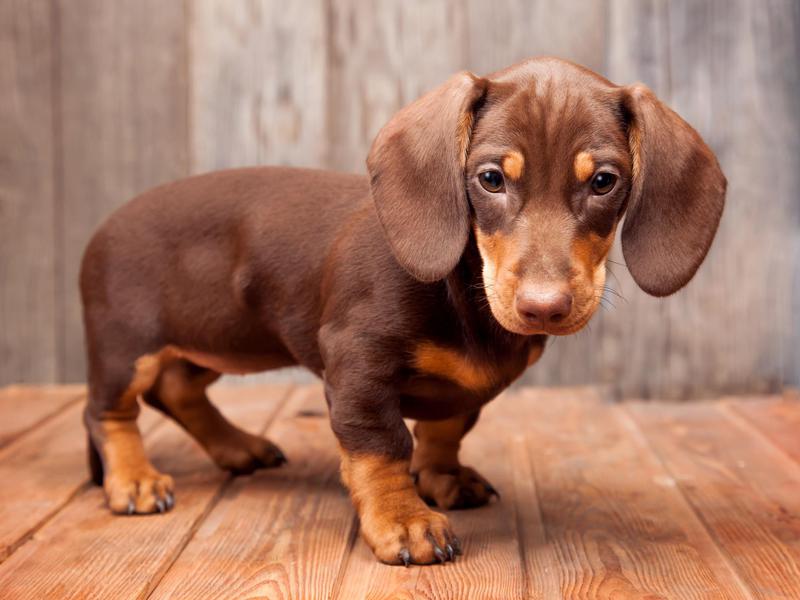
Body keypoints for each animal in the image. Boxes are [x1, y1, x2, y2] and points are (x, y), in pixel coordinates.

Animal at [79, 57, 724, 568]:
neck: (464, 291)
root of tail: (103, 228)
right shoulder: (358, 366)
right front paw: (404, 521)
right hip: (125, 346)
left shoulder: (462, 390)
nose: (544, 308)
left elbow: (446, 428)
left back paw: (237, 445)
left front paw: (442, 478)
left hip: (219, 343)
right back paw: (134, 480)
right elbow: (382, 446)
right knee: (109, 411)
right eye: (491, 178)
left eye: (605, 181)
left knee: (176, 389)